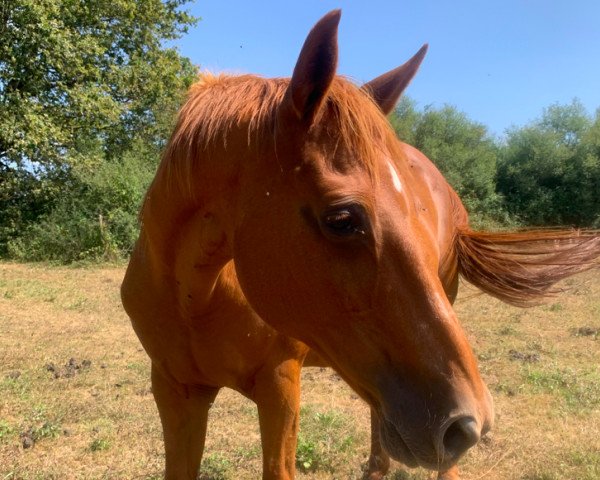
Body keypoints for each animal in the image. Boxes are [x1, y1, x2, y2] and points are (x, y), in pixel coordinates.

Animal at [122, 8, 600, 480]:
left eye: (416, 211)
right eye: (342, 219)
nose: (466, 425)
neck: (193, 299)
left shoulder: (279, 386)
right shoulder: (175, 392)